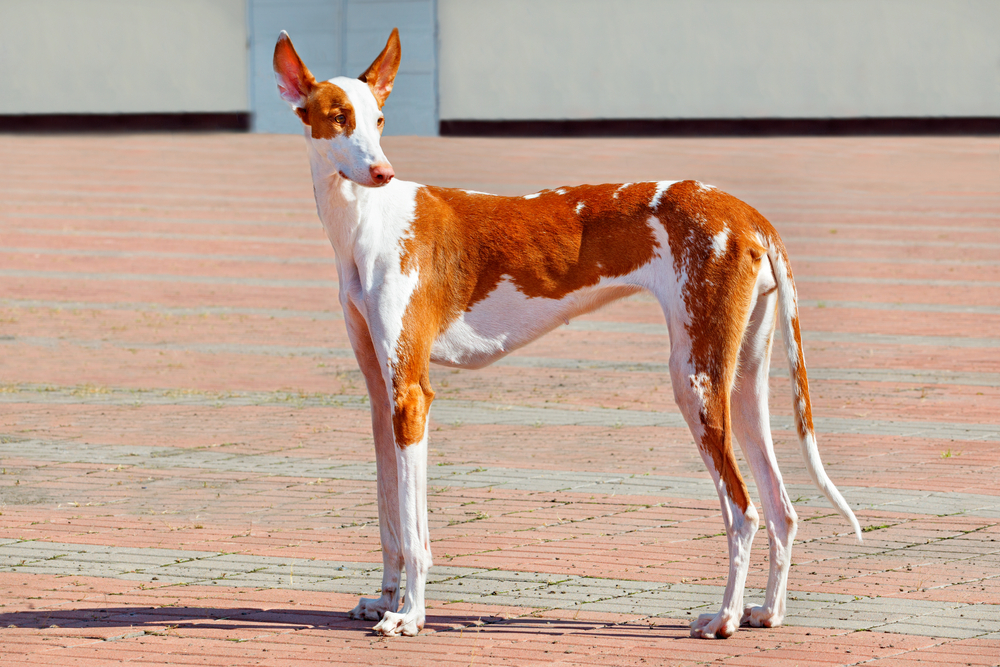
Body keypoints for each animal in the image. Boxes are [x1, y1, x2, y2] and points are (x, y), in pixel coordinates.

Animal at [272, 28, 860, 640]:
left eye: (380, 118)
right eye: (340, 117)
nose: (382, 172)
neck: (369, 221)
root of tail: (747, 214)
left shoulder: (411, 396)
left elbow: (414, 532)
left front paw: (410, 614)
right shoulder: (380, 396)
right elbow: (390, 519)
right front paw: (384, 600)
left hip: (694, 382)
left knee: (743, 510)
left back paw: (723, 618)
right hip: (740, 382)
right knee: (781, 507)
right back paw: (766, 612)